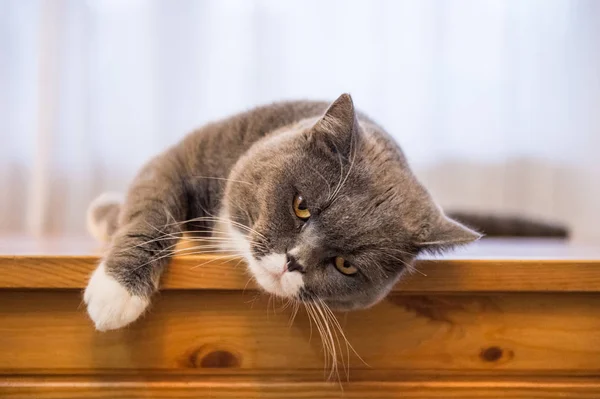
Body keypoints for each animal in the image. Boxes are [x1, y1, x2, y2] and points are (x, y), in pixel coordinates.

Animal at [84, 94, 568, 332]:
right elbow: (152, 210)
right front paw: (116, 293)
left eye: (346, 265)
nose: (291, 262)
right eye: (301, 206)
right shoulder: (181, 159)